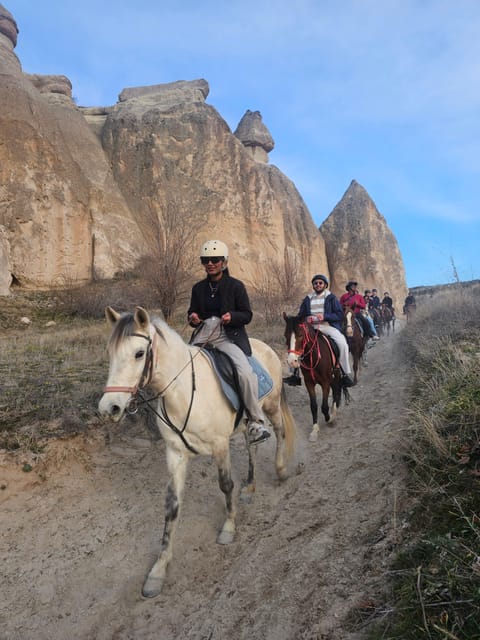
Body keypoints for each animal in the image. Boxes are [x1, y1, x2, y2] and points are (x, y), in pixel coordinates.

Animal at [98, 308, 296, 596]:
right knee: (253, 447)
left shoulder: (220, 445)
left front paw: (229, 527)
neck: (182, 392)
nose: (108, 408)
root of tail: (265, 346)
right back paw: (250, 488)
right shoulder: (176, 455)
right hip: (248, 422)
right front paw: (158, 570)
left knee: (279, 433)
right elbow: (172, 506)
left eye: (139, 353)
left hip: (270, 406)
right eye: (110, 353)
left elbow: (226, 485)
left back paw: (281, 470)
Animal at [284, 312, 344, 442]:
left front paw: (329, 419)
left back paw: (334, 412)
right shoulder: (309, 383)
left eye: (300, 335)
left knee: (337, 390)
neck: (313, 357)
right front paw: (314, 430)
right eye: (285, 335)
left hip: (336, 374)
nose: (292, 361)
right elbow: (314, 406)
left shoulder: (325, 382)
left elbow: (324, 406)